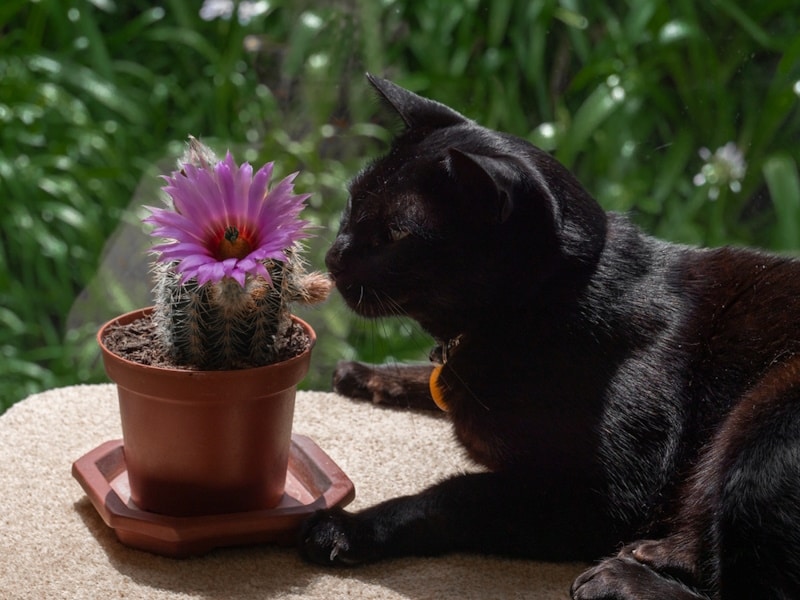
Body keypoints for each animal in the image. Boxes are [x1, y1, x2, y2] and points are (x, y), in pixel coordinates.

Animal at [298, 76, 800, 600]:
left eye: (396, 234)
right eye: (353, 203)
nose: (334, 256)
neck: (553, 301)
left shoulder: (601, 498)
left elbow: (449, 497)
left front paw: (350, 528)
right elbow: (430, 378)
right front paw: (364, 374)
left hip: (762, 423)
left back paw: (622, 577)